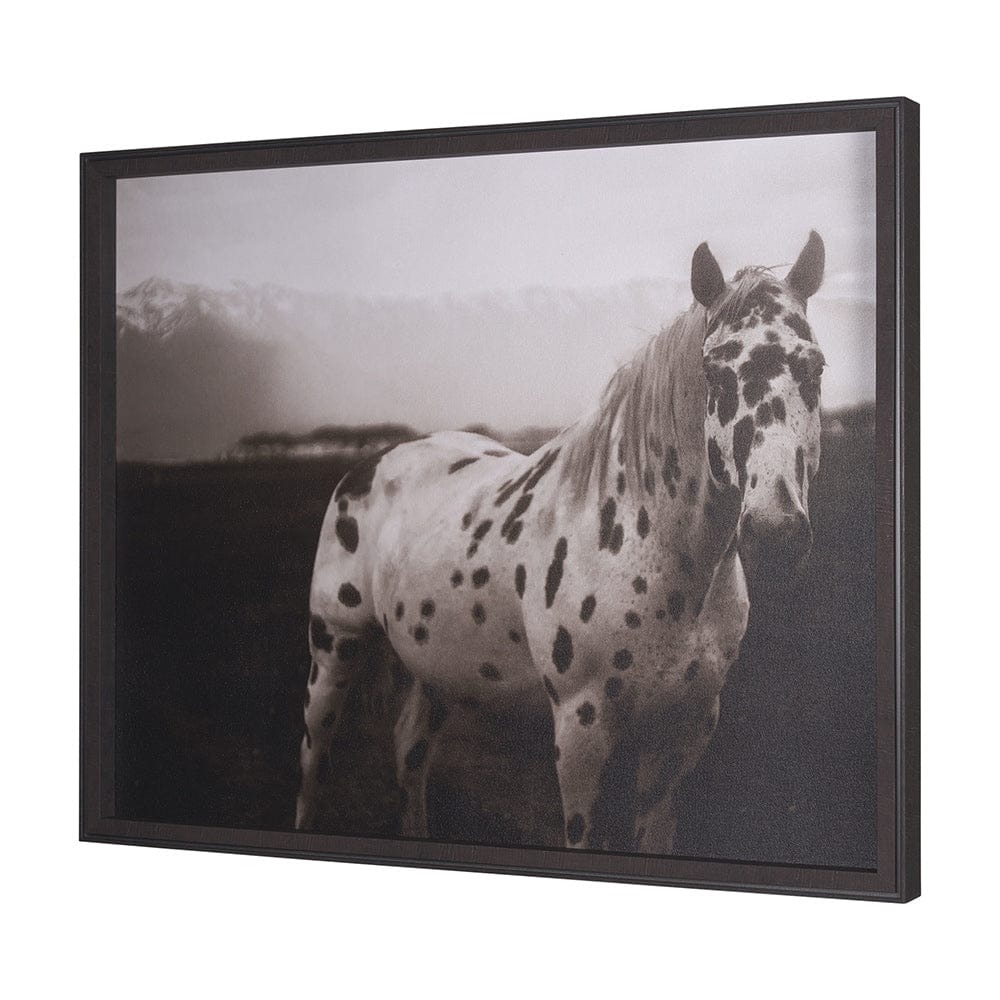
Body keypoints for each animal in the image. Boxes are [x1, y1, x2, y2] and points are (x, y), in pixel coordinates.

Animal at [295, 232, 826, 853]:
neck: (649, 546)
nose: (775, 532)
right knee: (313, 759)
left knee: (410, 754)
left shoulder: (681, 733)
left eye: (814, 369)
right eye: (715, 373)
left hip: (437, 669)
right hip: (334, 649)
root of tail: (369, 466)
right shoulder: (581, 732)